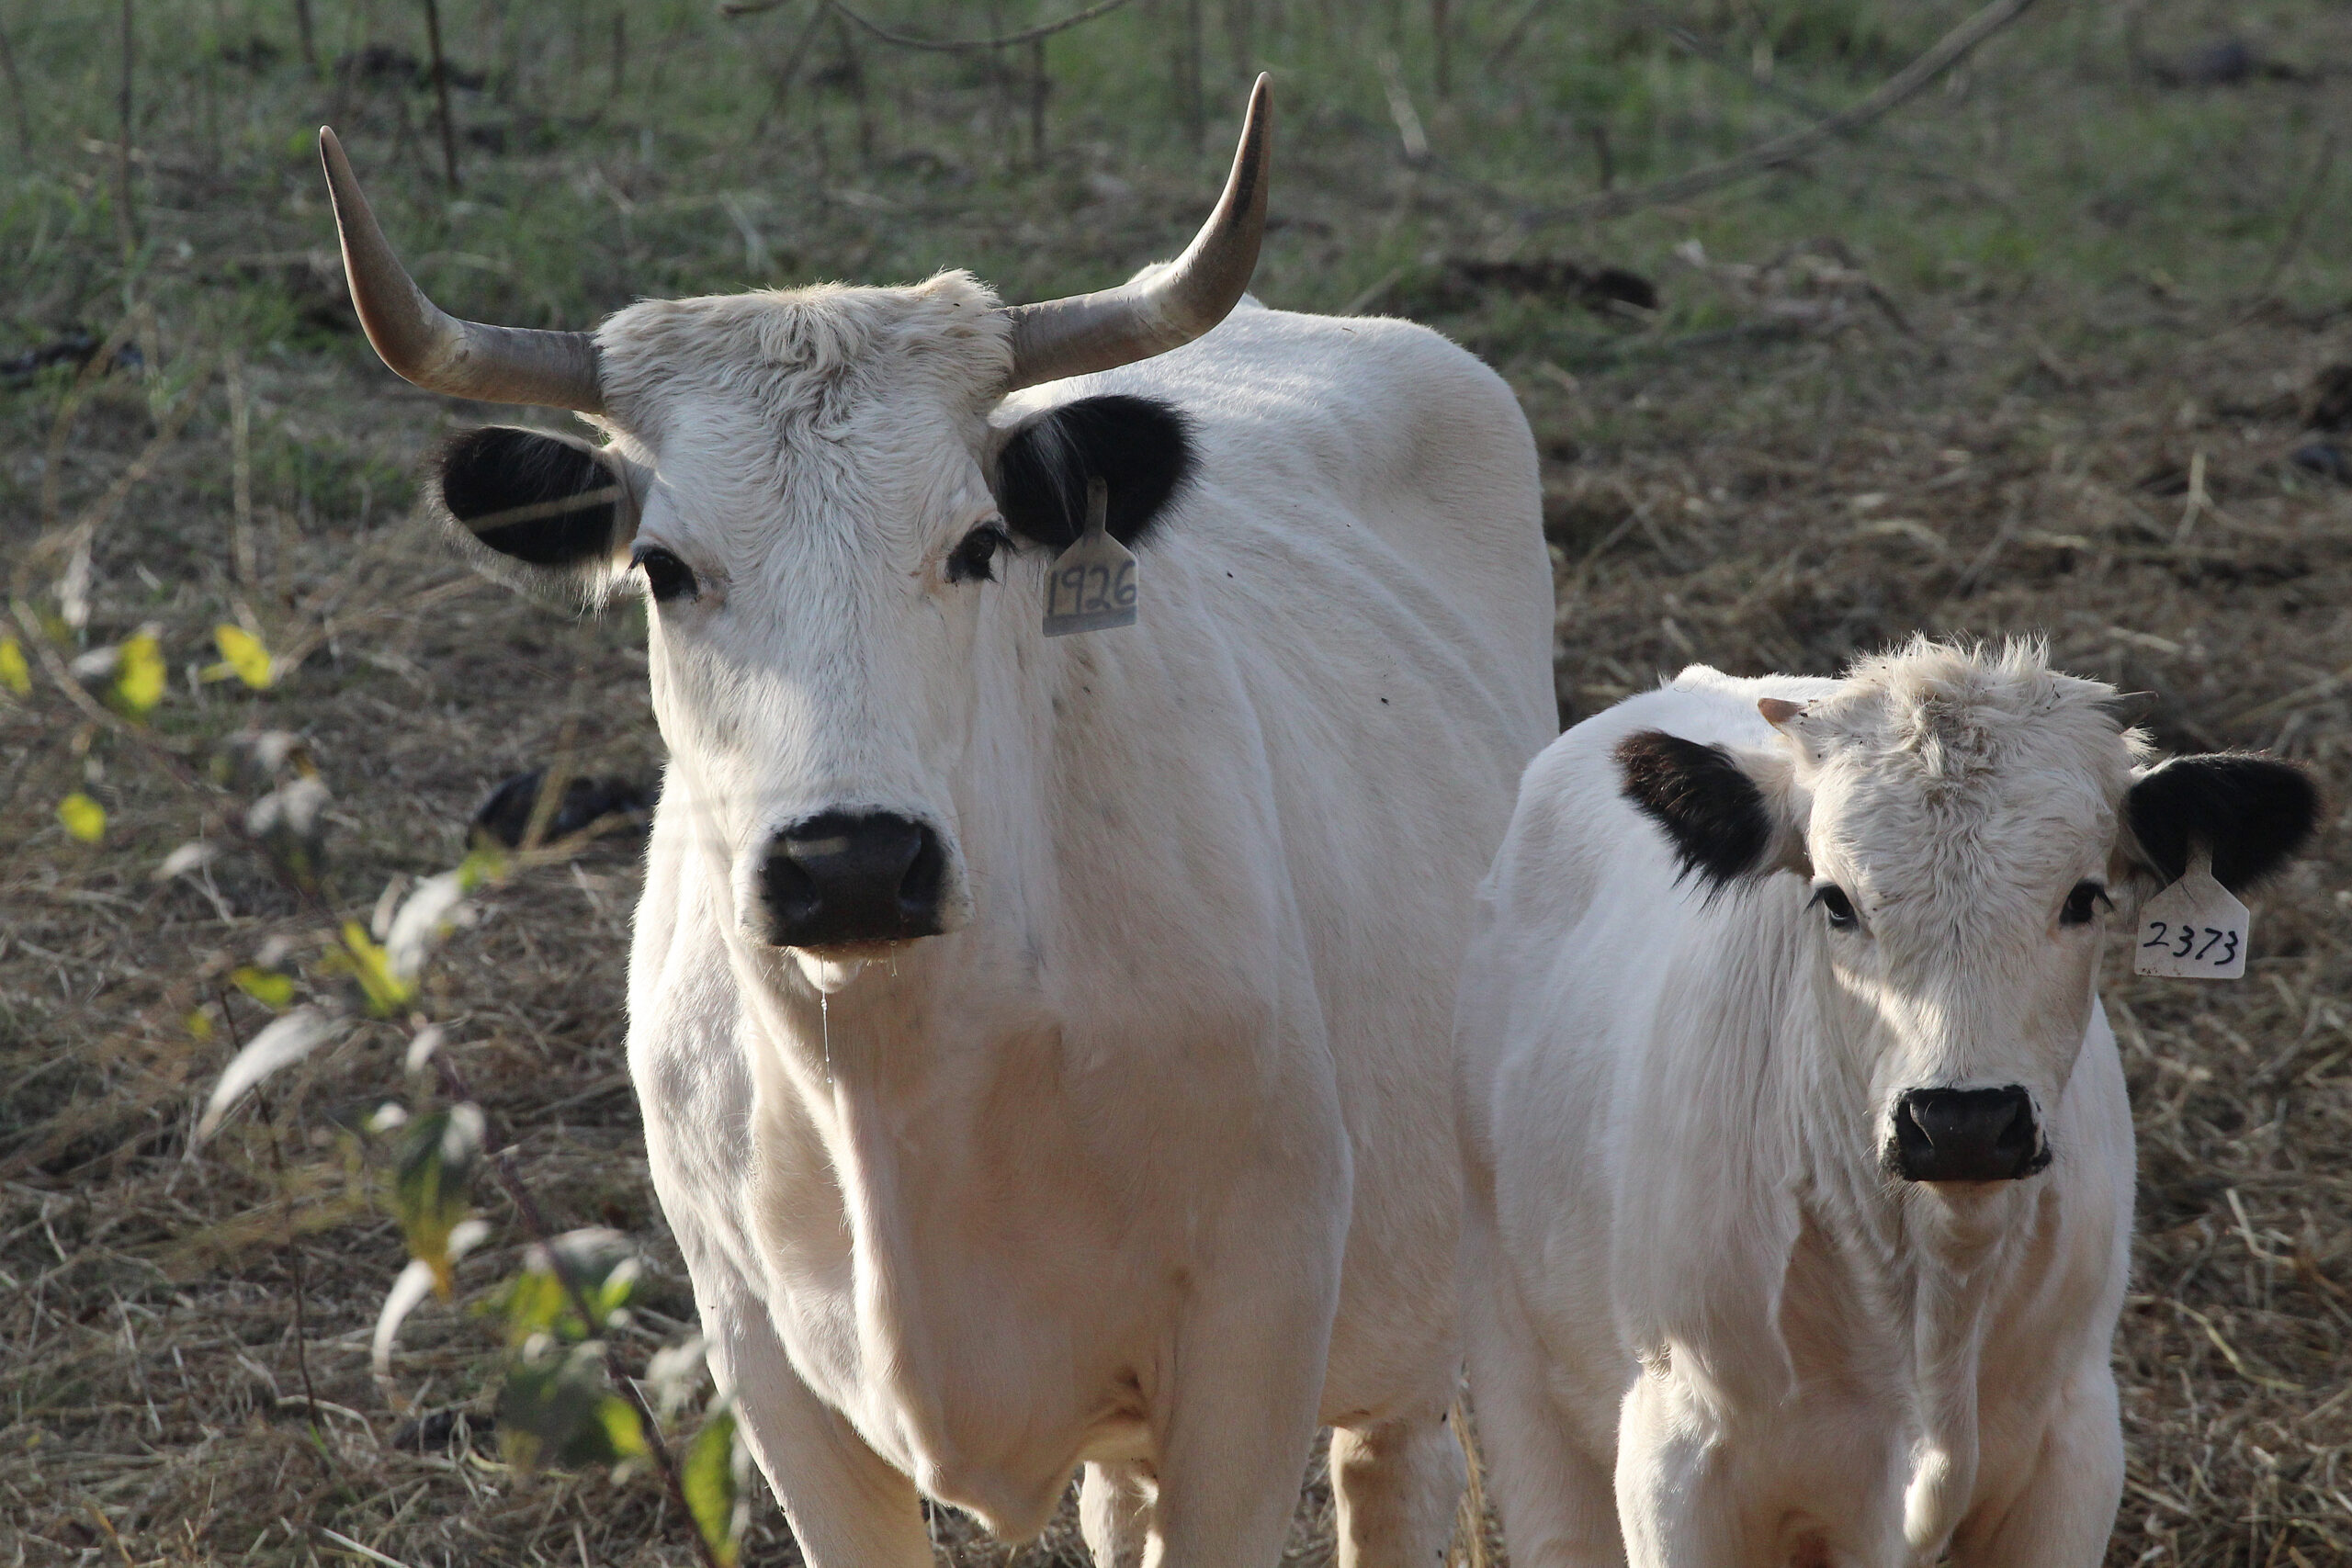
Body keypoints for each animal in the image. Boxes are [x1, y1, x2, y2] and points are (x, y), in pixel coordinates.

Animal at [312, 83, 1561, 1568]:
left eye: (978, 543)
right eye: (662, 568)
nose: (851, 861)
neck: (901, 1071)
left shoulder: (1255, 1337)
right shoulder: (768, 1365)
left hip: (1413, 1303)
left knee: (1403, 1468)